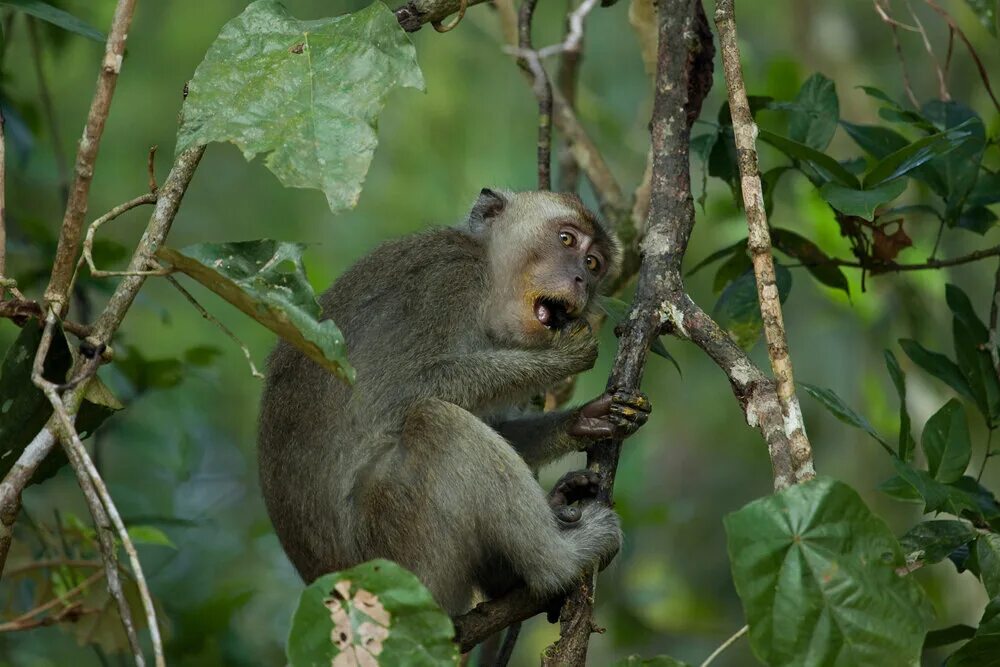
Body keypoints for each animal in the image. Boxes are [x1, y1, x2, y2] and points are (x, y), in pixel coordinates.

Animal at [254, 188, 652, 616]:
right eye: (566, 240)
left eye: (594, 264)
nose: (581, 280)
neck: (488, 272)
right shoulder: (447, 280)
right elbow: (404, 392)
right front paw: (563, 356)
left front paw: (588, 418)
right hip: (402, 564)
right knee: (438, 422)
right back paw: (560, 561)